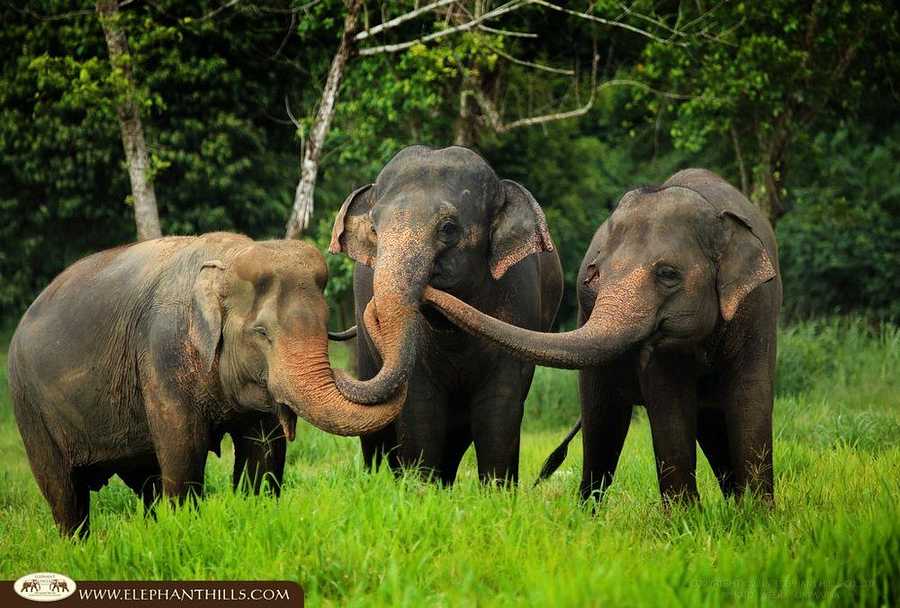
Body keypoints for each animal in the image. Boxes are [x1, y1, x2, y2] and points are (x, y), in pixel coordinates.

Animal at [7, 233, 405, 536]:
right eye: (262, 333)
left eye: (326, 324)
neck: (228, 259)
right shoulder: (162, 353)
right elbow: (183, 451)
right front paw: (186, 530)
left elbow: (263, 453)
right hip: (29, 406)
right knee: (64, 493)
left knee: (145, 481)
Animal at [329, 145, 563, 484]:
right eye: (374, 229)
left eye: (448, 228)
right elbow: (420, 406)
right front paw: (418, 488)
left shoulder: (519, 304)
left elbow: (499, 407)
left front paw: (497, 492)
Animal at [423, 169, 782, 504]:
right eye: (595, 275)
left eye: (668, 274)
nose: (428, 286)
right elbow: (669, 403)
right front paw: (687, 519)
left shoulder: (759, 306)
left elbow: (750, 395)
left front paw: (757, 517)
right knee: (603, 423)